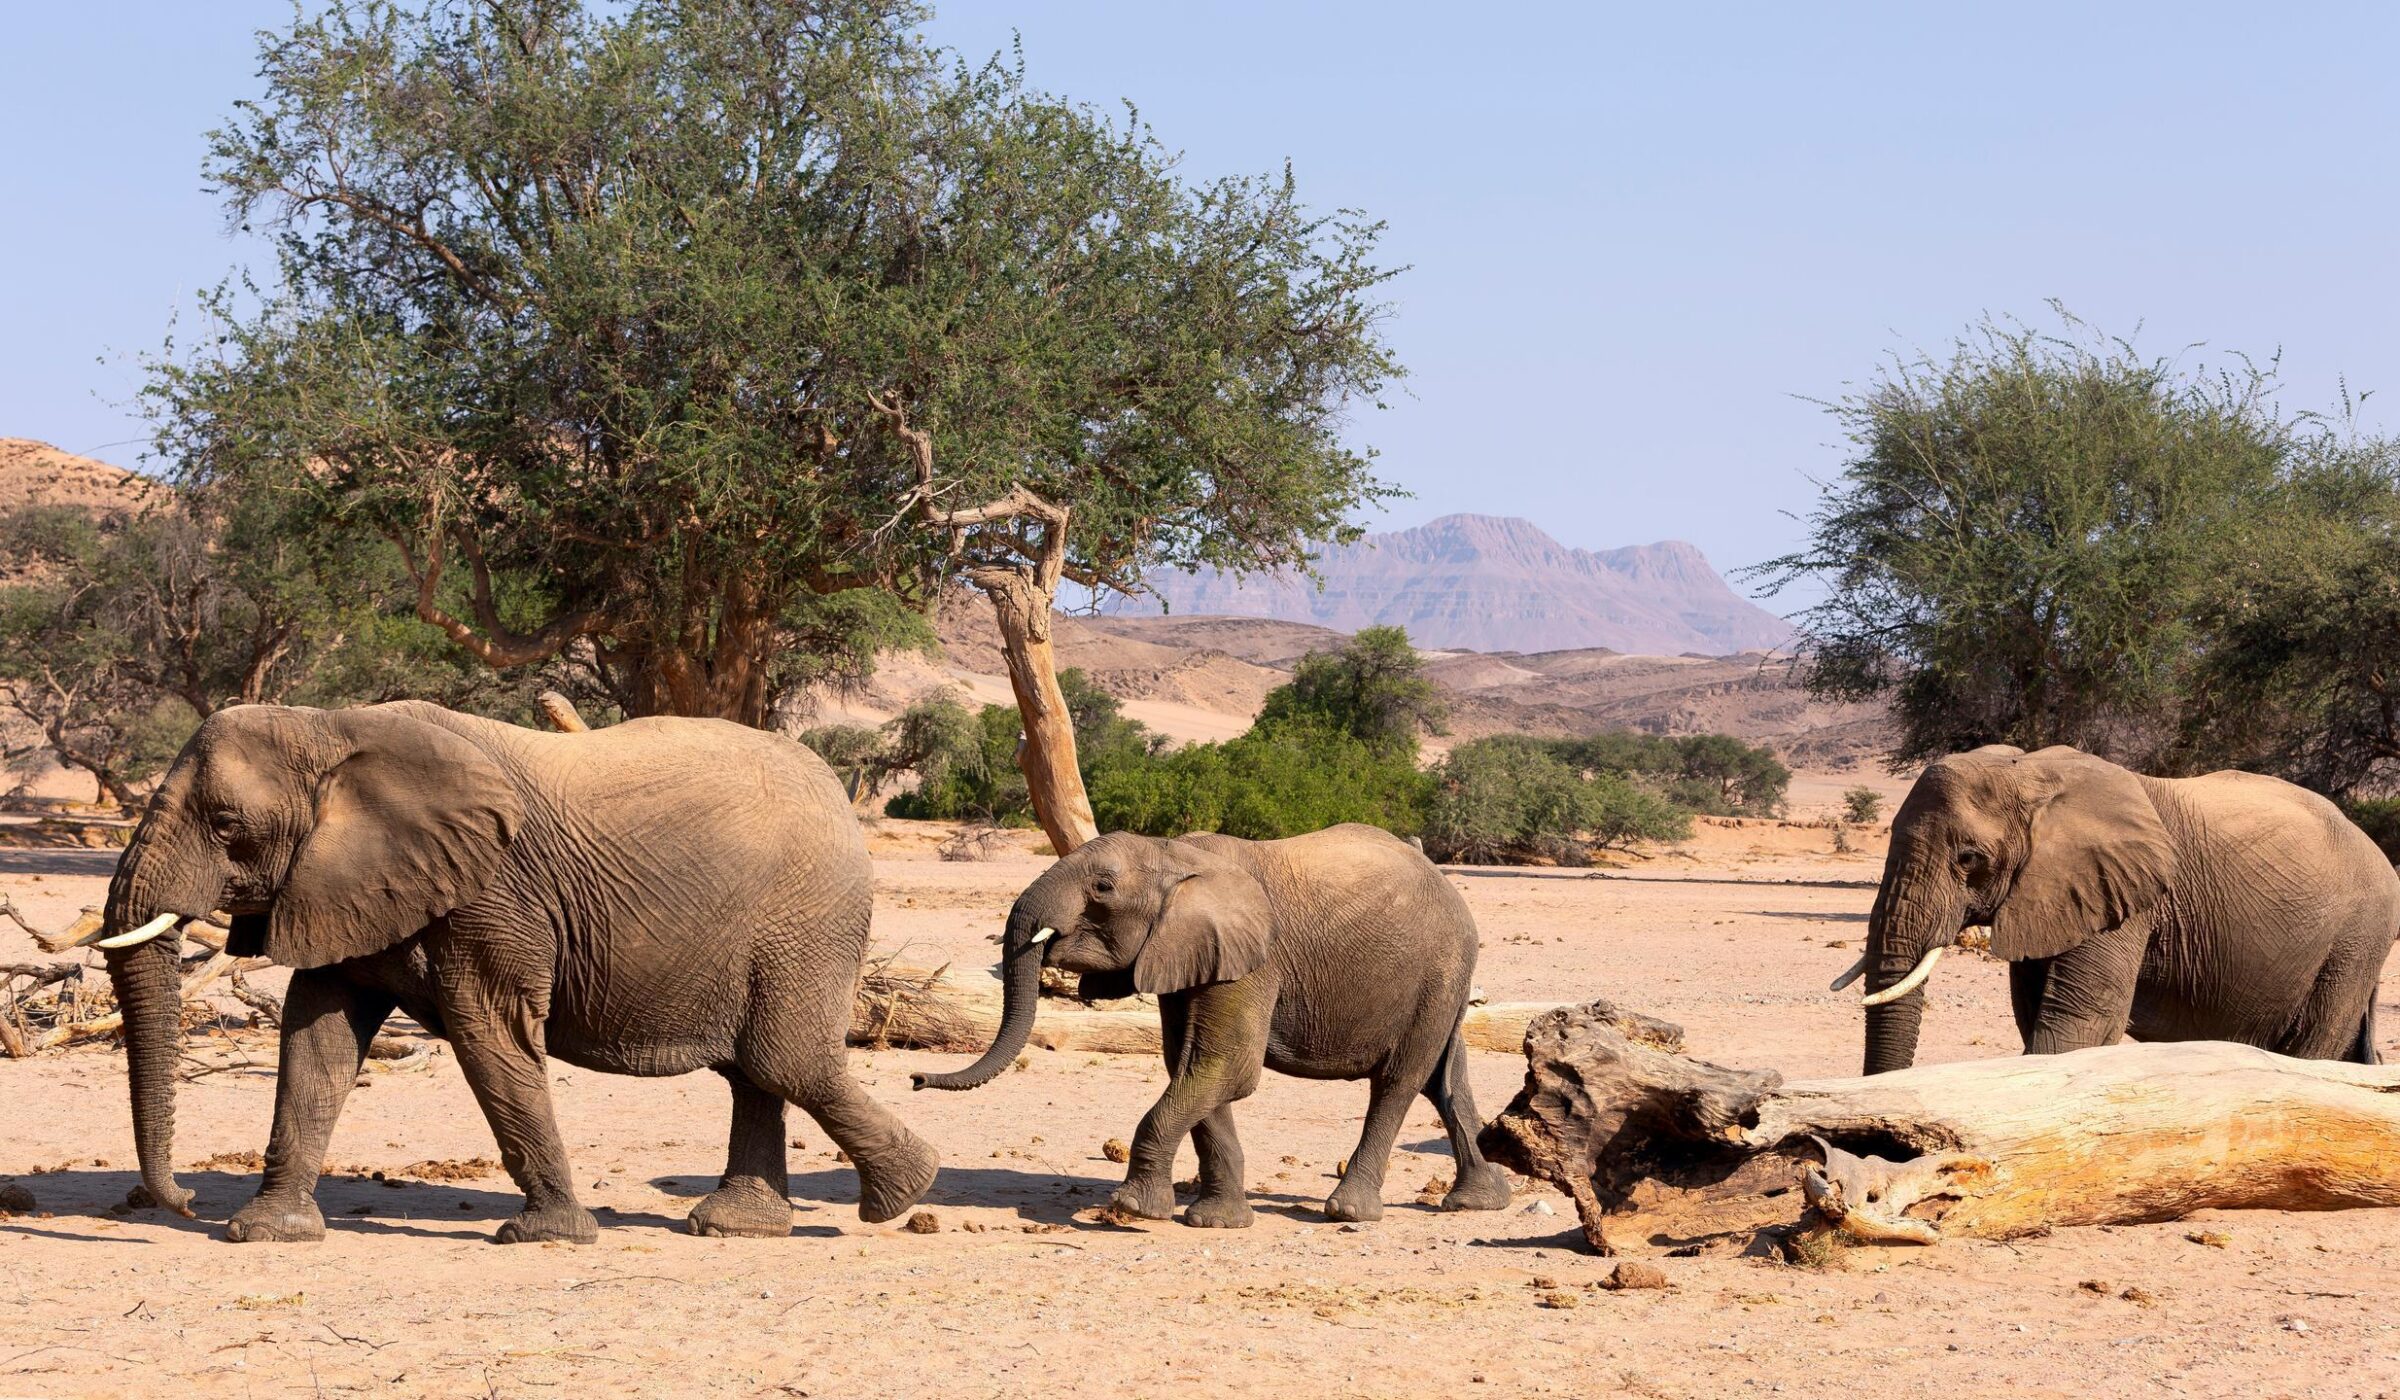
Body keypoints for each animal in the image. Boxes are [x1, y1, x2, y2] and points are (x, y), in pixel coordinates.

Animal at [87, 700, 937, 1243]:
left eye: (226, 825)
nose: (183, 1202)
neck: (329, 726)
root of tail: (840, 792)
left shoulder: (495, 892)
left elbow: (487, 1030)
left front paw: (546, 1235)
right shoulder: (341, 883)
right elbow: (316, 1039)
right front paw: (268, 1232)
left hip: (807, 919)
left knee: (782, 1059)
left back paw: (904, 1194)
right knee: (755, 1070)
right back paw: (740, 1227)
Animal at [910, 825, 1512, 1226]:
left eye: (1103, 888)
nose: (915, 1079)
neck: (1176, 854)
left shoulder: (1253, 958)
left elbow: (1228, 1068)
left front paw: (1132, 1209)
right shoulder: (1188, 954)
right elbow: (1192, 1066)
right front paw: (1217, 1221)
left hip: (1440, 969)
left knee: (1398, 1081)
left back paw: (1349, 1211)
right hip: (1443, 980)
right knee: (1444, 1079)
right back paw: (1478, 1202)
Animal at [1835, 744, 2400, 1075]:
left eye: (1969, 859)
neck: (2034, 772)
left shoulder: (2124, 896)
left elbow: (2078, 1023)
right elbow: (2034, 1012)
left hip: (2355, 940)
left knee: (2316, 1045)